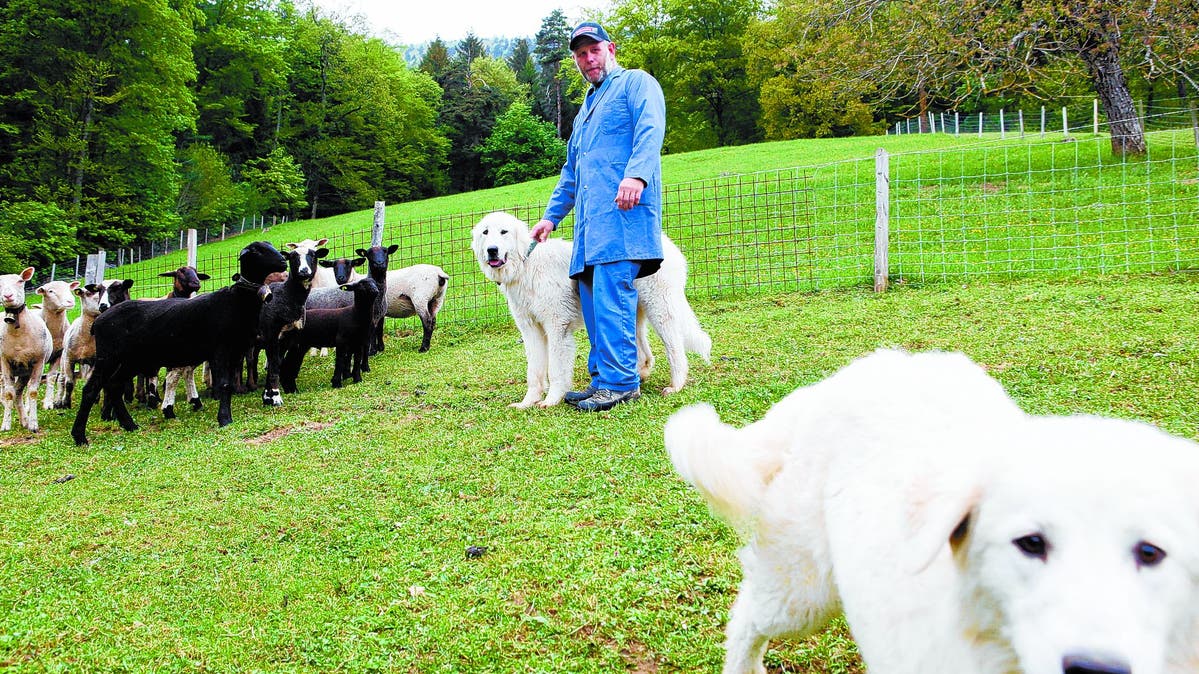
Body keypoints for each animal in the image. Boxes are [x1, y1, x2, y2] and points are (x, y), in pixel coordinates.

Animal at [0, 265, 53, 426]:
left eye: (20, 281)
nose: (8, 296)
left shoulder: (38, 361)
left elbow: (33, 392)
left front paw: (33, 423)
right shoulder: (5, 361)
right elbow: (9, 393)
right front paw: (5, 424)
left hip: (25, 371)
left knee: (19, 391)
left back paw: (25, 420)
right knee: (14, 391)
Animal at [470, 212, 709, 407]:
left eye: (504, 232)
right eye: (485, 232)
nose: (492, 250)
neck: (525, 264)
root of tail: (668, 244)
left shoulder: (557, 327)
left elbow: (555, 369)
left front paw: (551, 400)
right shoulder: (531, 331)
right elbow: (534, 372)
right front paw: (528, 402)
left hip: (659, 309)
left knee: (675, 348)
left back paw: (676, 384)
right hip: (634, 313)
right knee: (643, 353)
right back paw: (635, 381)